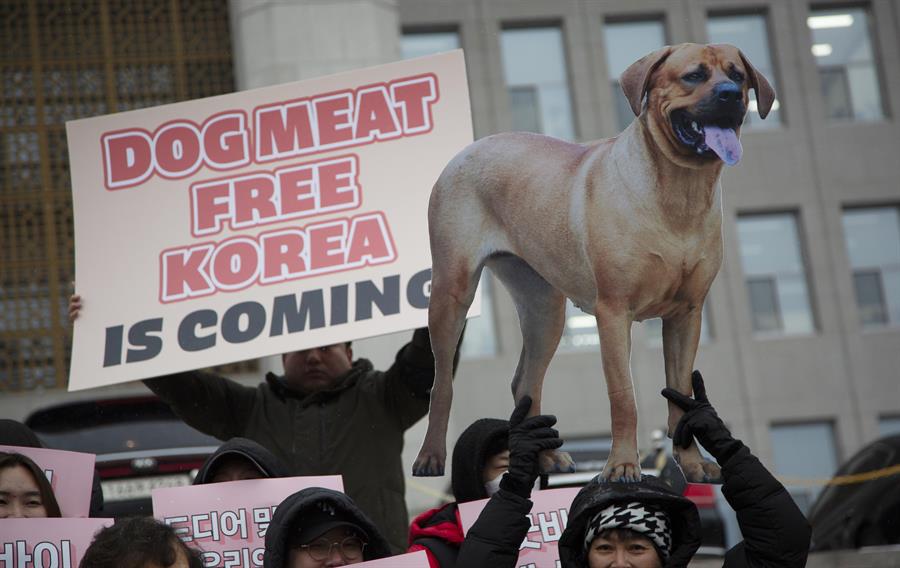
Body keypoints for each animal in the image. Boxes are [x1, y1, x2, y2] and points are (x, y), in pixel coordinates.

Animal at [414, 42, 772, 482]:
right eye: (693, 75)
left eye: (738, 75)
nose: (729, 95)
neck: (678, 189)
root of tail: (467, 148)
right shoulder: (613, 313)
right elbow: (624, 397)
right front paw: (622, 465)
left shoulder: (686, 314)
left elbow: (681, 395)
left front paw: (691, 464)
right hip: (453, 290)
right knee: (442, 383)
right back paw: (430, 457)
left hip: (544, 309)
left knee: (524, 382)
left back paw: (546, 459)